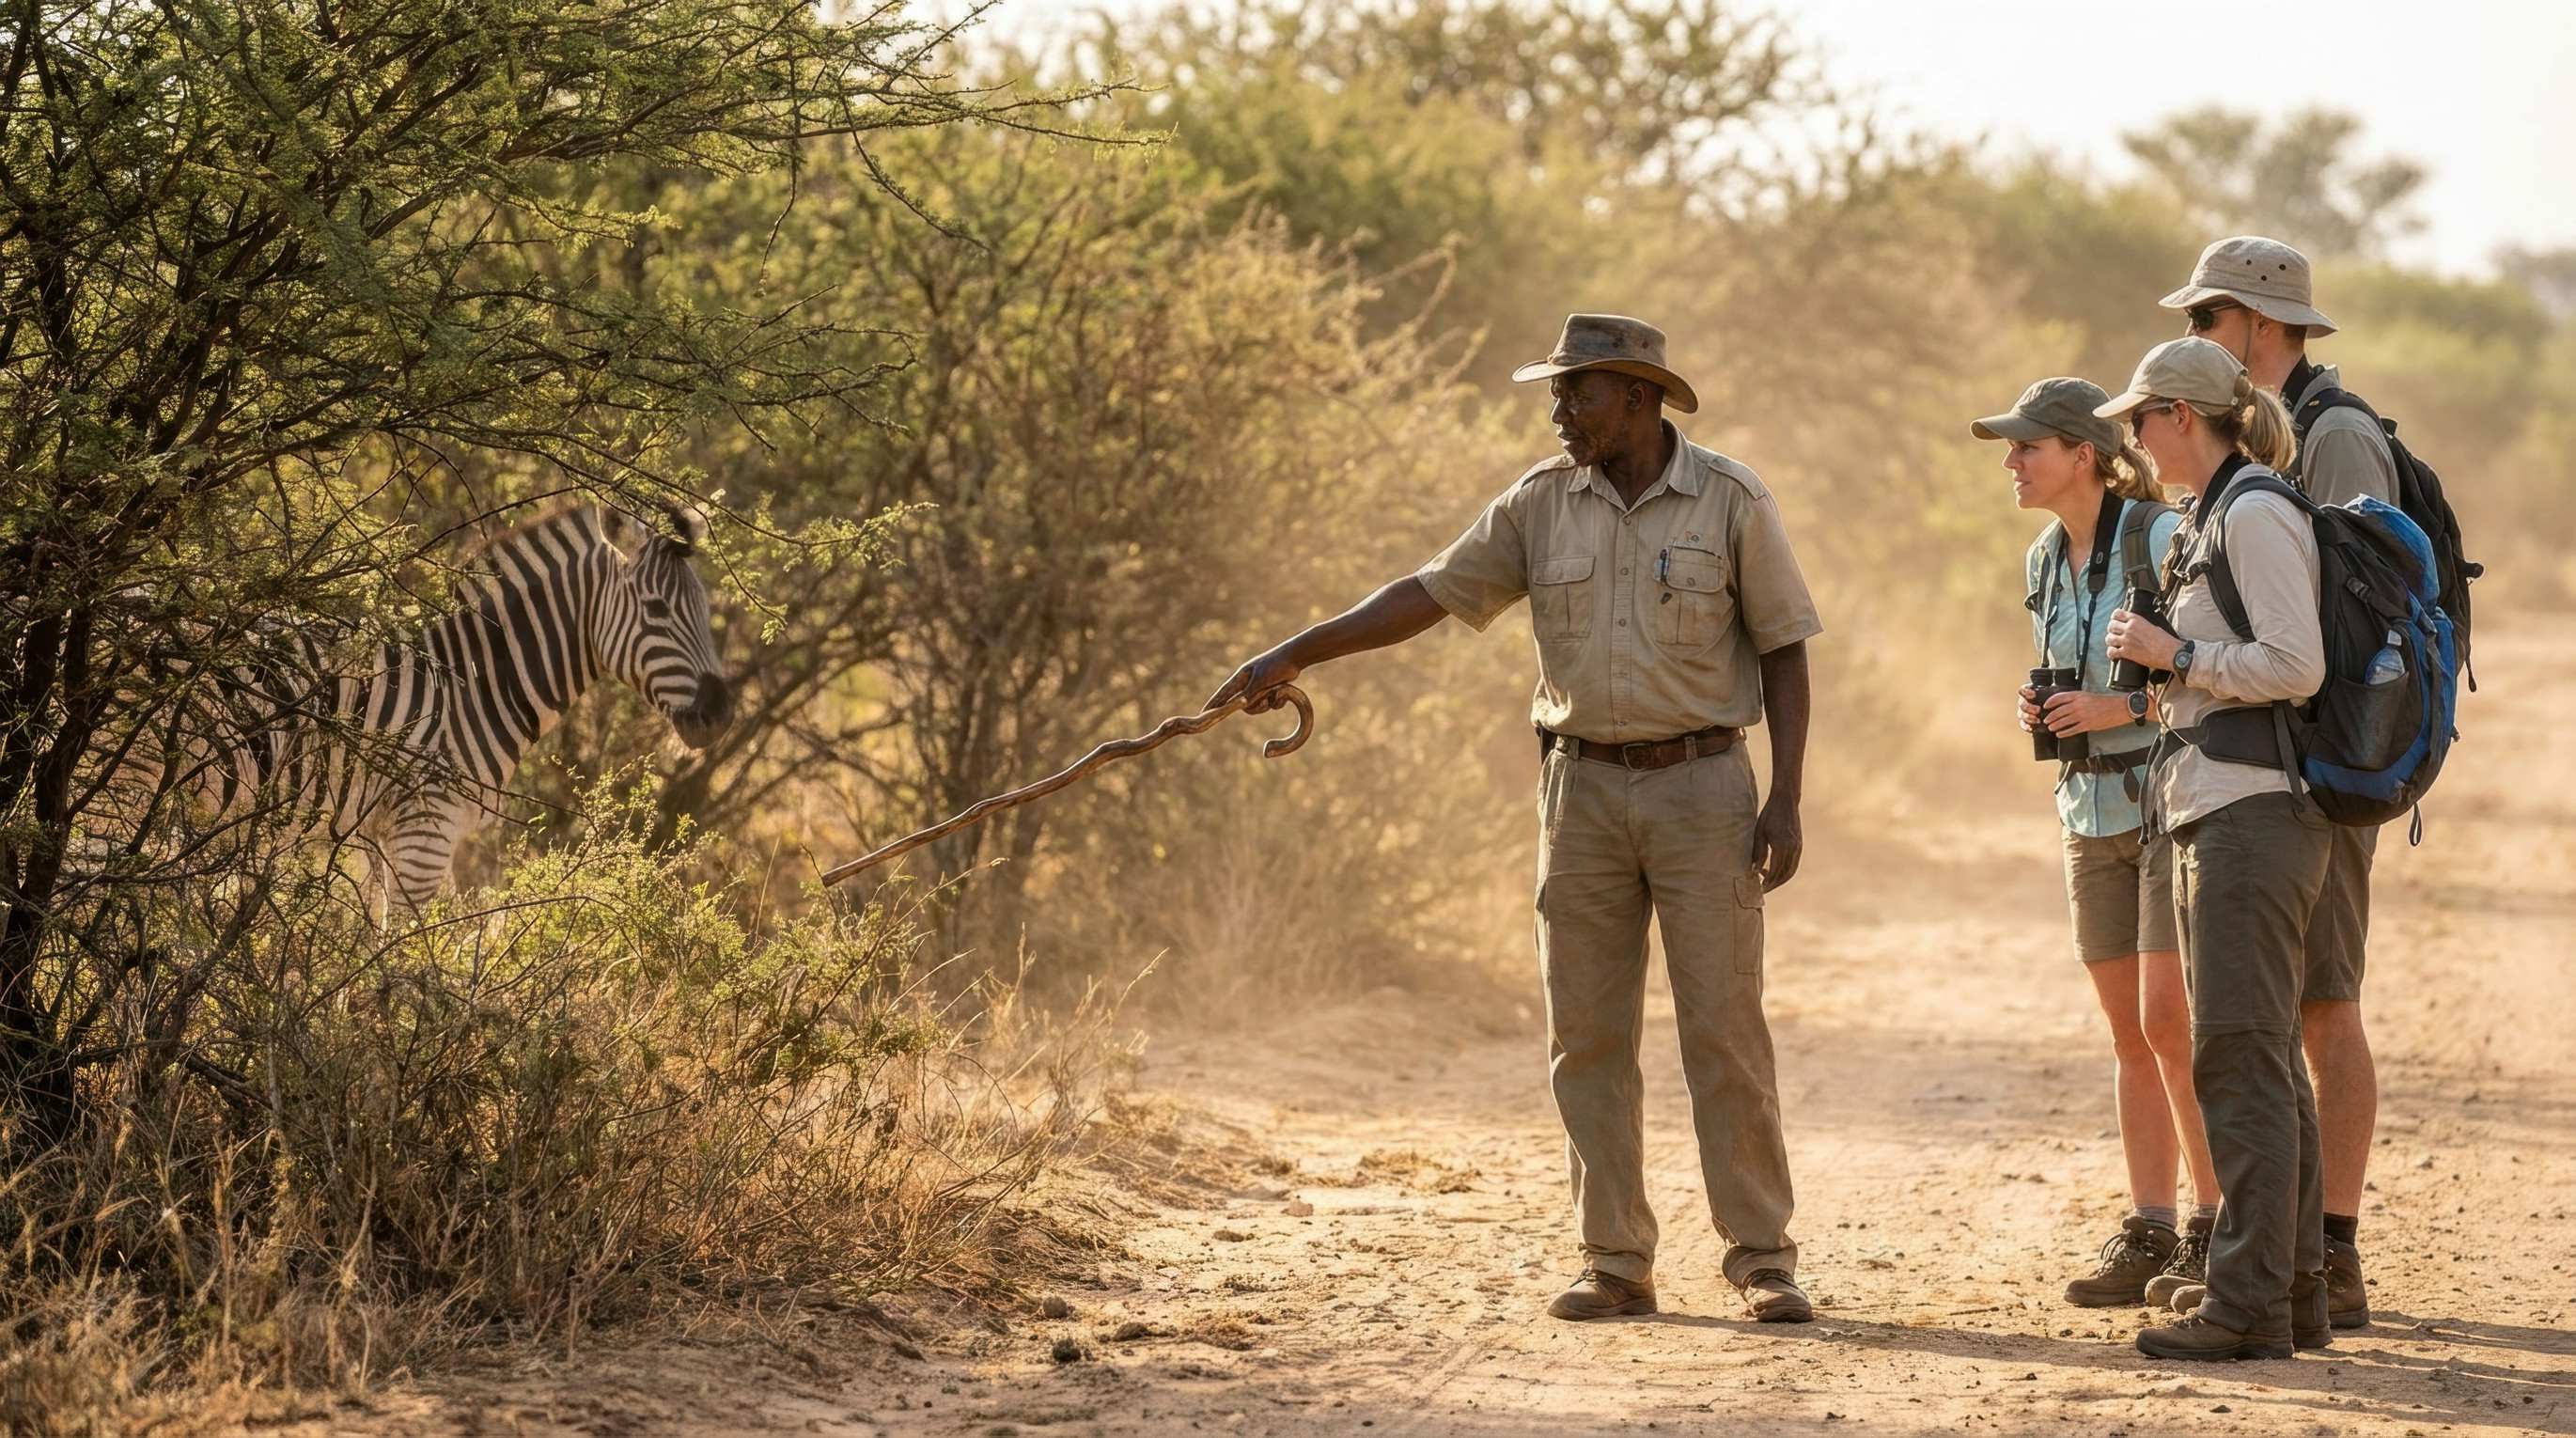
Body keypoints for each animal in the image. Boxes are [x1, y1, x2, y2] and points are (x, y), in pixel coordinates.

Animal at [101, 503, 734, 912]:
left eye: (706, 608)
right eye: (655, 609)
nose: (721, 715)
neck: (474, 685)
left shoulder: (385, 835)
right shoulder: (426, 833)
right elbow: (404, 960)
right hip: (124, 786)